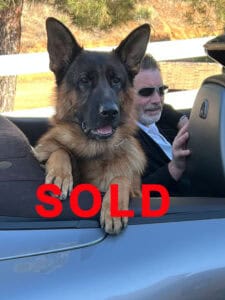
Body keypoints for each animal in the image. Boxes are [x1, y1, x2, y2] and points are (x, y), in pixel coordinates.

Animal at [35, 18, 150, 234]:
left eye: (116, 80)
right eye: (85, 80)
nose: (110, 112)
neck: (95, 150)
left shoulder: (133, 187)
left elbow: (121, 178)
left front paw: (113, 209)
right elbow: (60, 150)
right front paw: (60, 175)